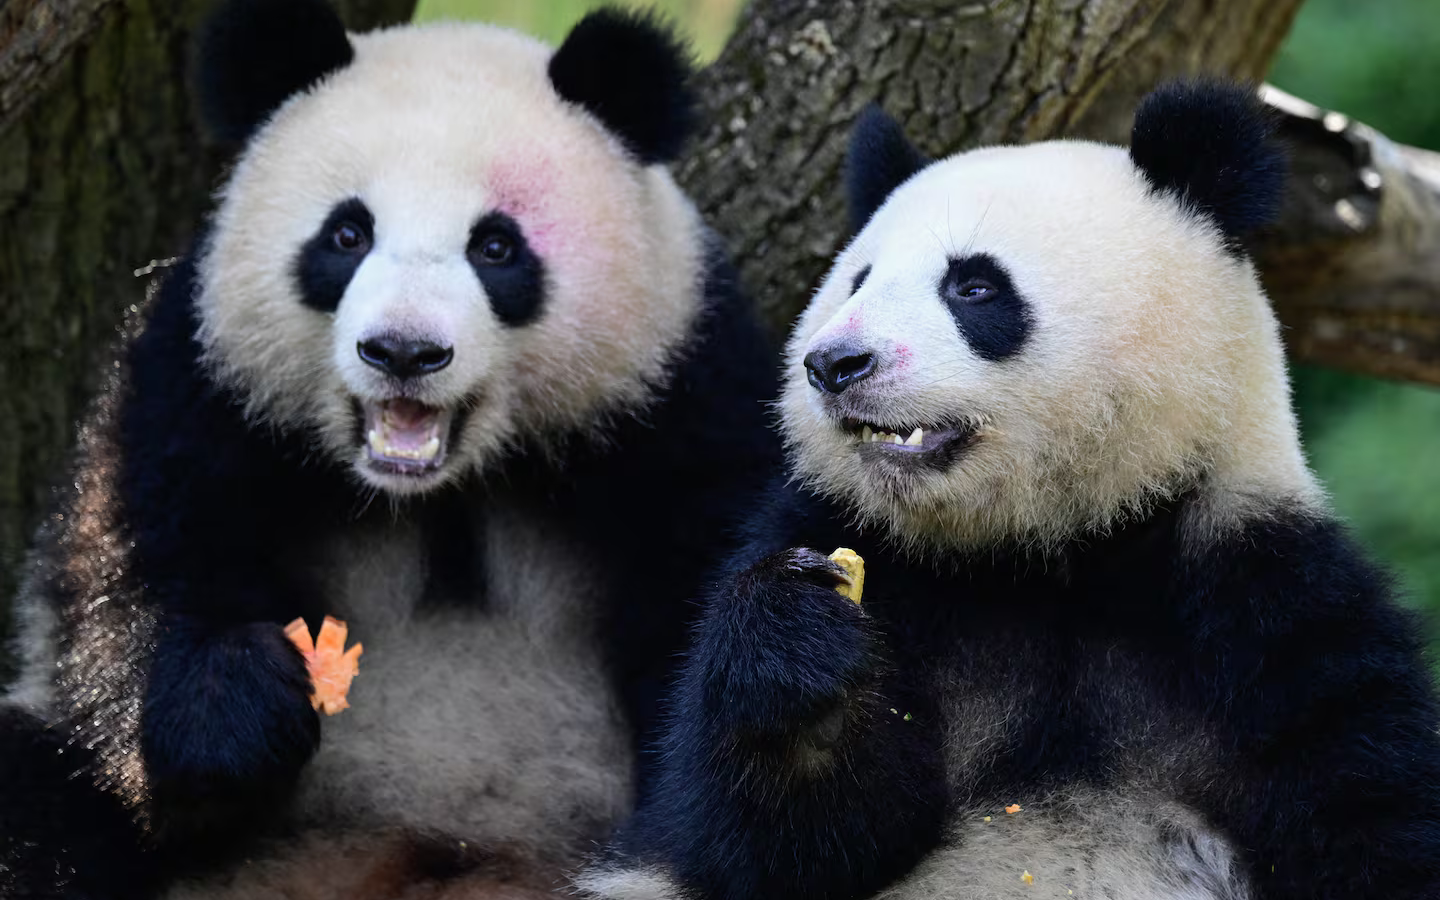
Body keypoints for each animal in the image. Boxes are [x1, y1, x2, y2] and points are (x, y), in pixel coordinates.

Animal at [0, 0, 779, 897]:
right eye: (346, 234)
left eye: (496, 247)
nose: (404, 351)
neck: (440, 491)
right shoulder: (201, 385)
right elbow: (128, 575)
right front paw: (240, 701)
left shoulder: (682, 403)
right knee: (37, 800)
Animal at [579, 82, 1440, 900]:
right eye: (856, 279)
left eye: (974, 286)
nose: (833, 364)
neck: (1049, 547)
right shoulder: (845, 539)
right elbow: (761, 849)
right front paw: (798, 644)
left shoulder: (1262, 603)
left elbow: (1372, 818)